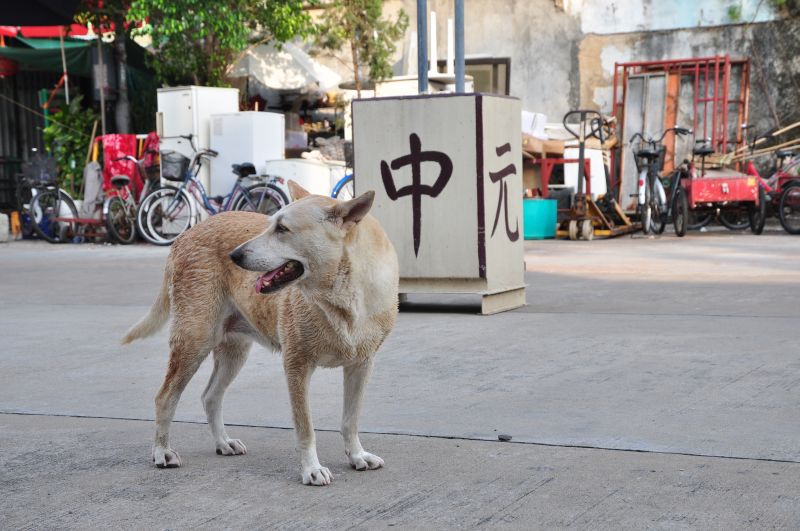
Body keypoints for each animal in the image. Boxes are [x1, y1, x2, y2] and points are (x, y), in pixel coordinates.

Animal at [123, 181, 399, 486]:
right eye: (271, 224)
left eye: (282, 229)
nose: (234, 255)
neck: (342, 294)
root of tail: (185, 234)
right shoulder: (296, 365)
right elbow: (306, 428)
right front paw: (311, 469)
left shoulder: (361, 365)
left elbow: (351, 419)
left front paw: (357, 456)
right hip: (194, 340)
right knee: (165, 397)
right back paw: (162, 451)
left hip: (234, 352)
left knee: (210, 396)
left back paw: (223, 442)